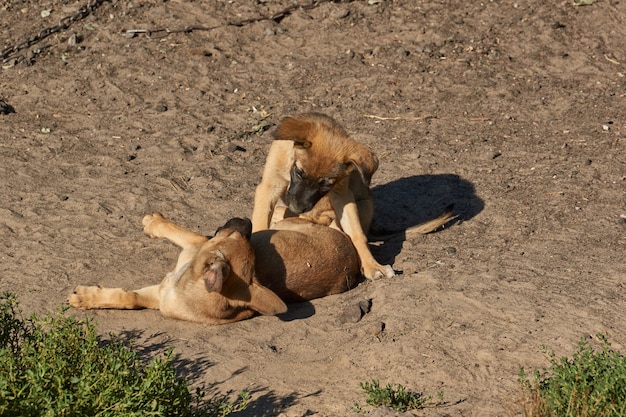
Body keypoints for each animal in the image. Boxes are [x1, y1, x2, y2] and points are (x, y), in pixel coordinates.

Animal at [69, 213, 358, 324]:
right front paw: (87, 298)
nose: (247, 220)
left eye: (235, 236)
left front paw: (154, 222)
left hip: (295, 223)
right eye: (242, 237)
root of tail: (353, 260)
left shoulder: (197, 242)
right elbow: (128, 298)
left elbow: (176, 230)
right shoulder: (159, 296)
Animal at [251, 113, 450, 280]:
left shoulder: (342, 195)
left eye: (326, 184)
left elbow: (356, 234)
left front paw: (373, 266)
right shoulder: (269, 187)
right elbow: (260, 223)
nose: (298, 207)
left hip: (364, 205)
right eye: (299, 173)